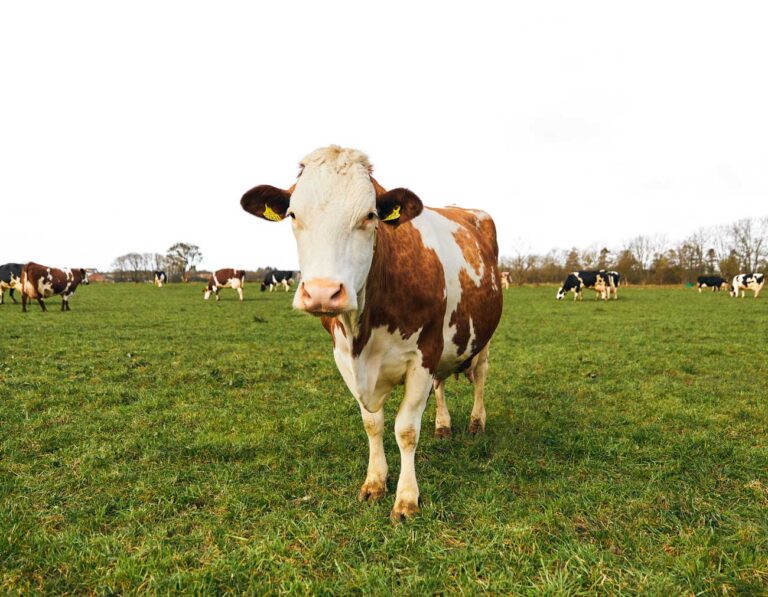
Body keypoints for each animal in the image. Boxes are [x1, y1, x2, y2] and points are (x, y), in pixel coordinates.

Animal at [241, 146, 503, 521]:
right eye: (293, 214)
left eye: (369, 216)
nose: (322, 293)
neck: (361, 334)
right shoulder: (343, 359)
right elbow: (372, 423)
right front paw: (375, 481)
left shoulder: (423, 354)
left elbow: (405, 429)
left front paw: (406, 498)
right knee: (441, 385)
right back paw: (442, 425)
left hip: (481, 338)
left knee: (479, 377)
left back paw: (476, 423)